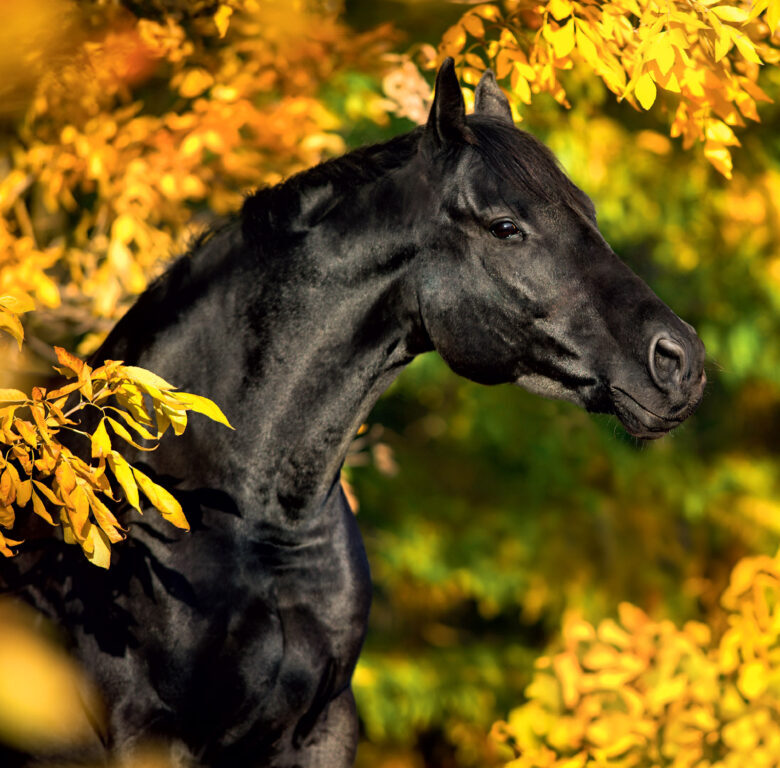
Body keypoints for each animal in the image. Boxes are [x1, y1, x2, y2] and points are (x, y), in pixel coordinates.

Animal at [1, 59, 706, 767]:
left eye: (589, 213)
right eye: (505, 226)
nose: (681, 360)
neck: (247, 519)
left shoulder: (324, 728)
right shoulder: (149, 732)